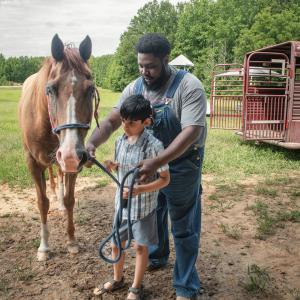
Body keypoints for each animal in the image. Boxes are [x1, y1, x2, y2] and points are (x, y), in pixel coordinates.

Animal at [18, 34, 99, 262]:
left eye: (90, 89)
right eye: (50, 89)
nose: (71, 154)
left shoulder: (73, 161)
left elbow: (70, 199)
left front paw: (71, 241)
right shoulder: (32, 163)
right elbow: (42, 202)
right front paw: (44, 247)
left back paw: (60, 202)